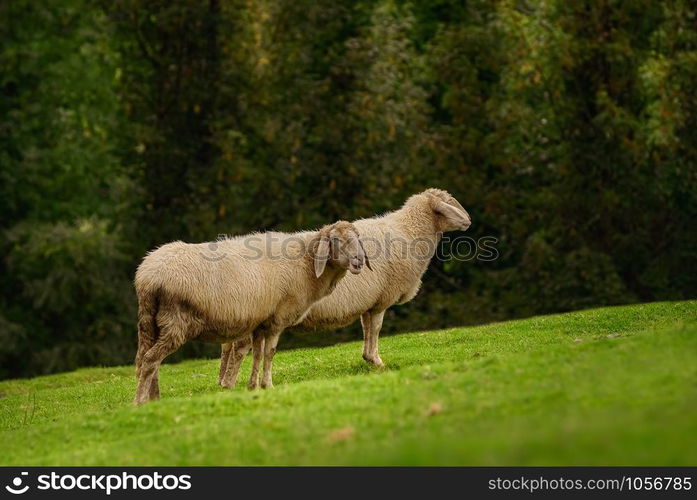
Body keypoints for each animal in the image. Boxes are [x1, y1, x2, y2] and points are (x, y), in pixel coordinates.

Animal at [132, 221, 370, 404]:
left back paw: (154, 400)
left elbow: (256, 354)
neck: (306, 265)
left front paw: (253, 386)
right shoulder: (277, 319)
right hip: (176, 322)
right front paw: (268, 385)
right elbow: (269, 353)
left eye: (358, 238)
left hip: (149, 322)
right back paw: (140, 402)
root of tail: (147, 277)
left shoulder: (260, 323)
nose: (358, 261)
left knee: (144, 358)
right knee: (151, 360)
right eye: (336, 240)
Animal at [222, 188, 474, 386]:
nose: (469, 220)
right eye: (447, 205)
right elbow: (376, 329)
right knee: (239, 348)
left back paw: (223, 381)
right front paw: (377, 361)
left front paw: (368, 358)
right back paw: (230, 384)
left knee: (228, 346)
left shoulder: (369, 302)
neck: (408, 231)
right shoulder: (382, 300)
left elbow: (367, 329)